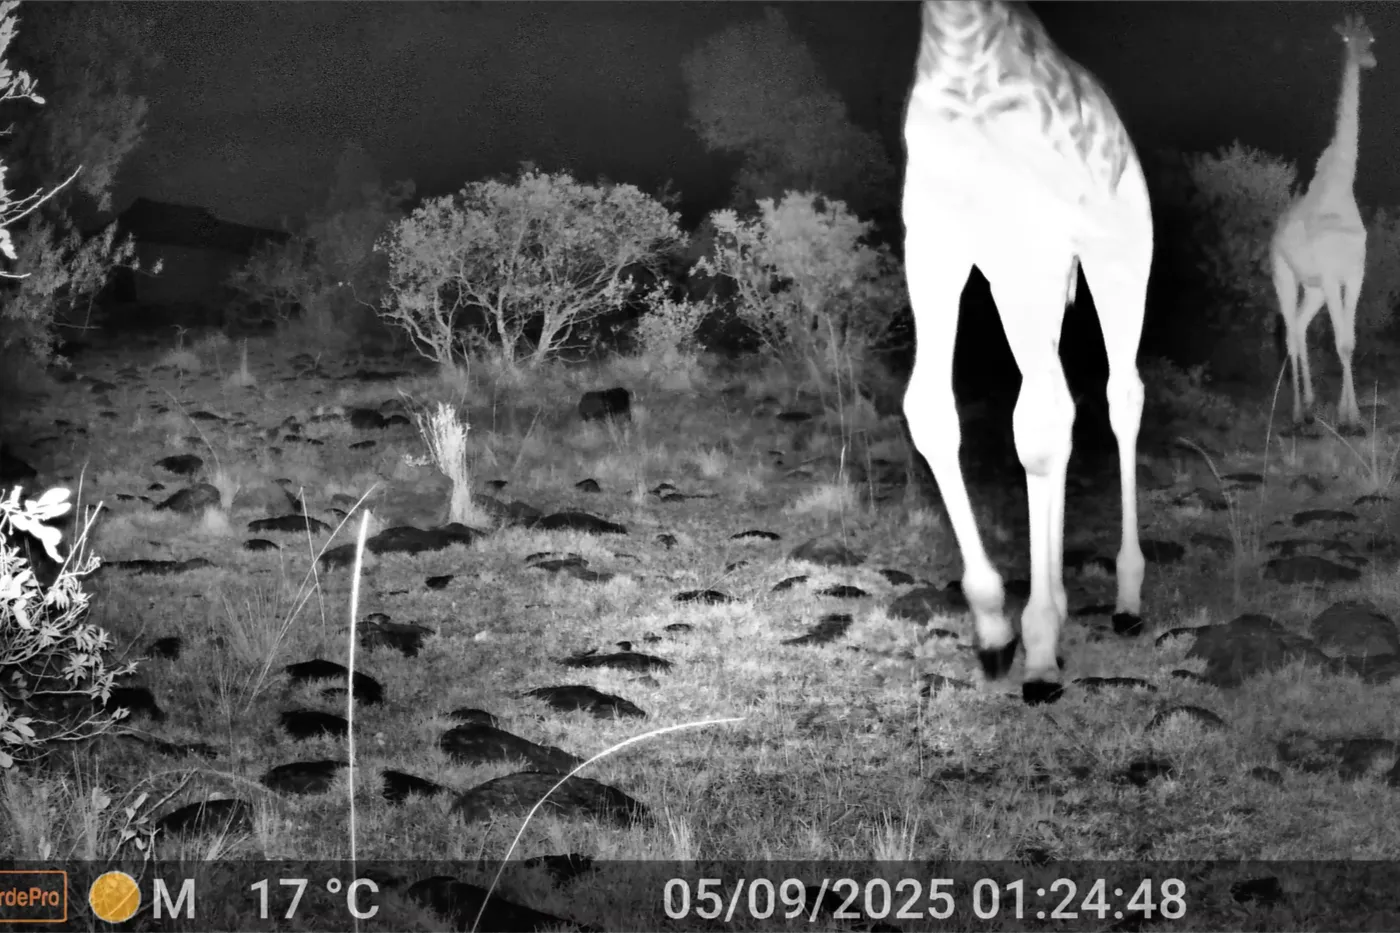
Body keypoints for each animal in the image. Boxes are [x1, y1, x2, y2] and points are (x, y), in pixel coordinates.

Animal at [901, 0, 1152, 704]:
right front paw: (994, 629)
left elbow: (1036, 433)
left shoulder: (1031, 240)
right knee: (1062, 404)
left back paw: (1126, 600)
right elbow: (930, 412)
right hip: (1029, 278)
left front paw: (1037, 647)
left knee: (1118, 396)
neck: (962, 52)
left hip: (1120, 254)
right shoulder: (934, 239)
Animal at [1269, 14, 1376, 434]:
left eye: (1371, 39)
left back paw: (1311, 408)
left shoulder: (1354, 273)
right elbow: (1341, 342)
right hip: (1284, 276)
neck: (1342, 185)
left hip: (1312, 288)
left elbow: (1349, 340)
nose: (1372, 60)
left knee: (1298, 327)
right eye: (1351, 41)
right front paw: (1353, 420)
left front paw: (1349, 416)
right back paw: (1299, 413)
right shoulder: (1333, 275)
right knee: (1290, 333)